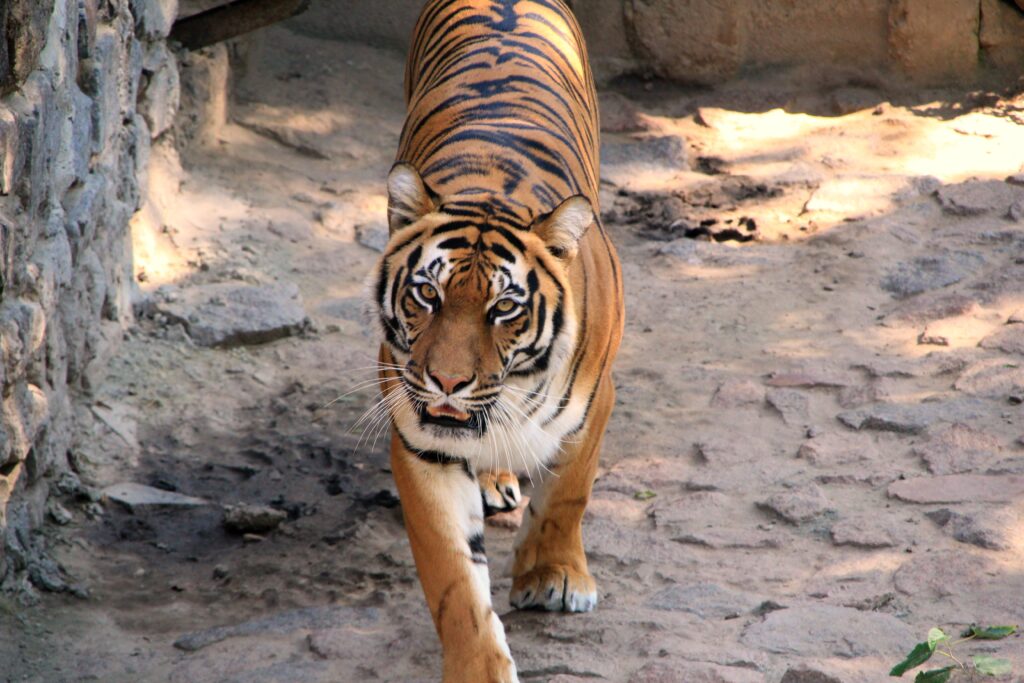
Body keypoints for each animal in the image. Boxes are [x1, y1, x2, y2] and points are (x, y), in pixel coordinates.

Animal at [368, 0, 623, 680]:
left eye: (504, 308)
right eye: (427, 294)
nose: (448, 381)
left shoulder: (595, 403)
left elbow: (568, 492)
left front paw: (554, 577)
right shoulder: (421, 436)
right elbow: (455, 581)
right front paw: (480, 666)